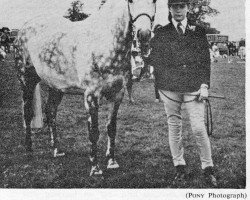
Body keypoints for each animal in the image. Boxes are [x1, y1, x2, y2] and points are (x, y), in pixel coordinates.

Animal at [14, 0, 156, 175]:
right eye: (130, 1)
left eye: (154, 1)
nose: (144, 35)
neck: (105, 41)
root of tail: (23, 29)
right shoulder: (91, 95)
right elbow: (93, 131)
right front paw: (95, 167)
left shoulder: (117, 94)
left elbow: (111, 128)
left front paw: (112, 161)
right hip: (26, 80)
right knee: (27, 113)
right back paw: (29, 150)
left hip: (56, 87)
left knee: (50, 111)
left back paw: (56, 150)